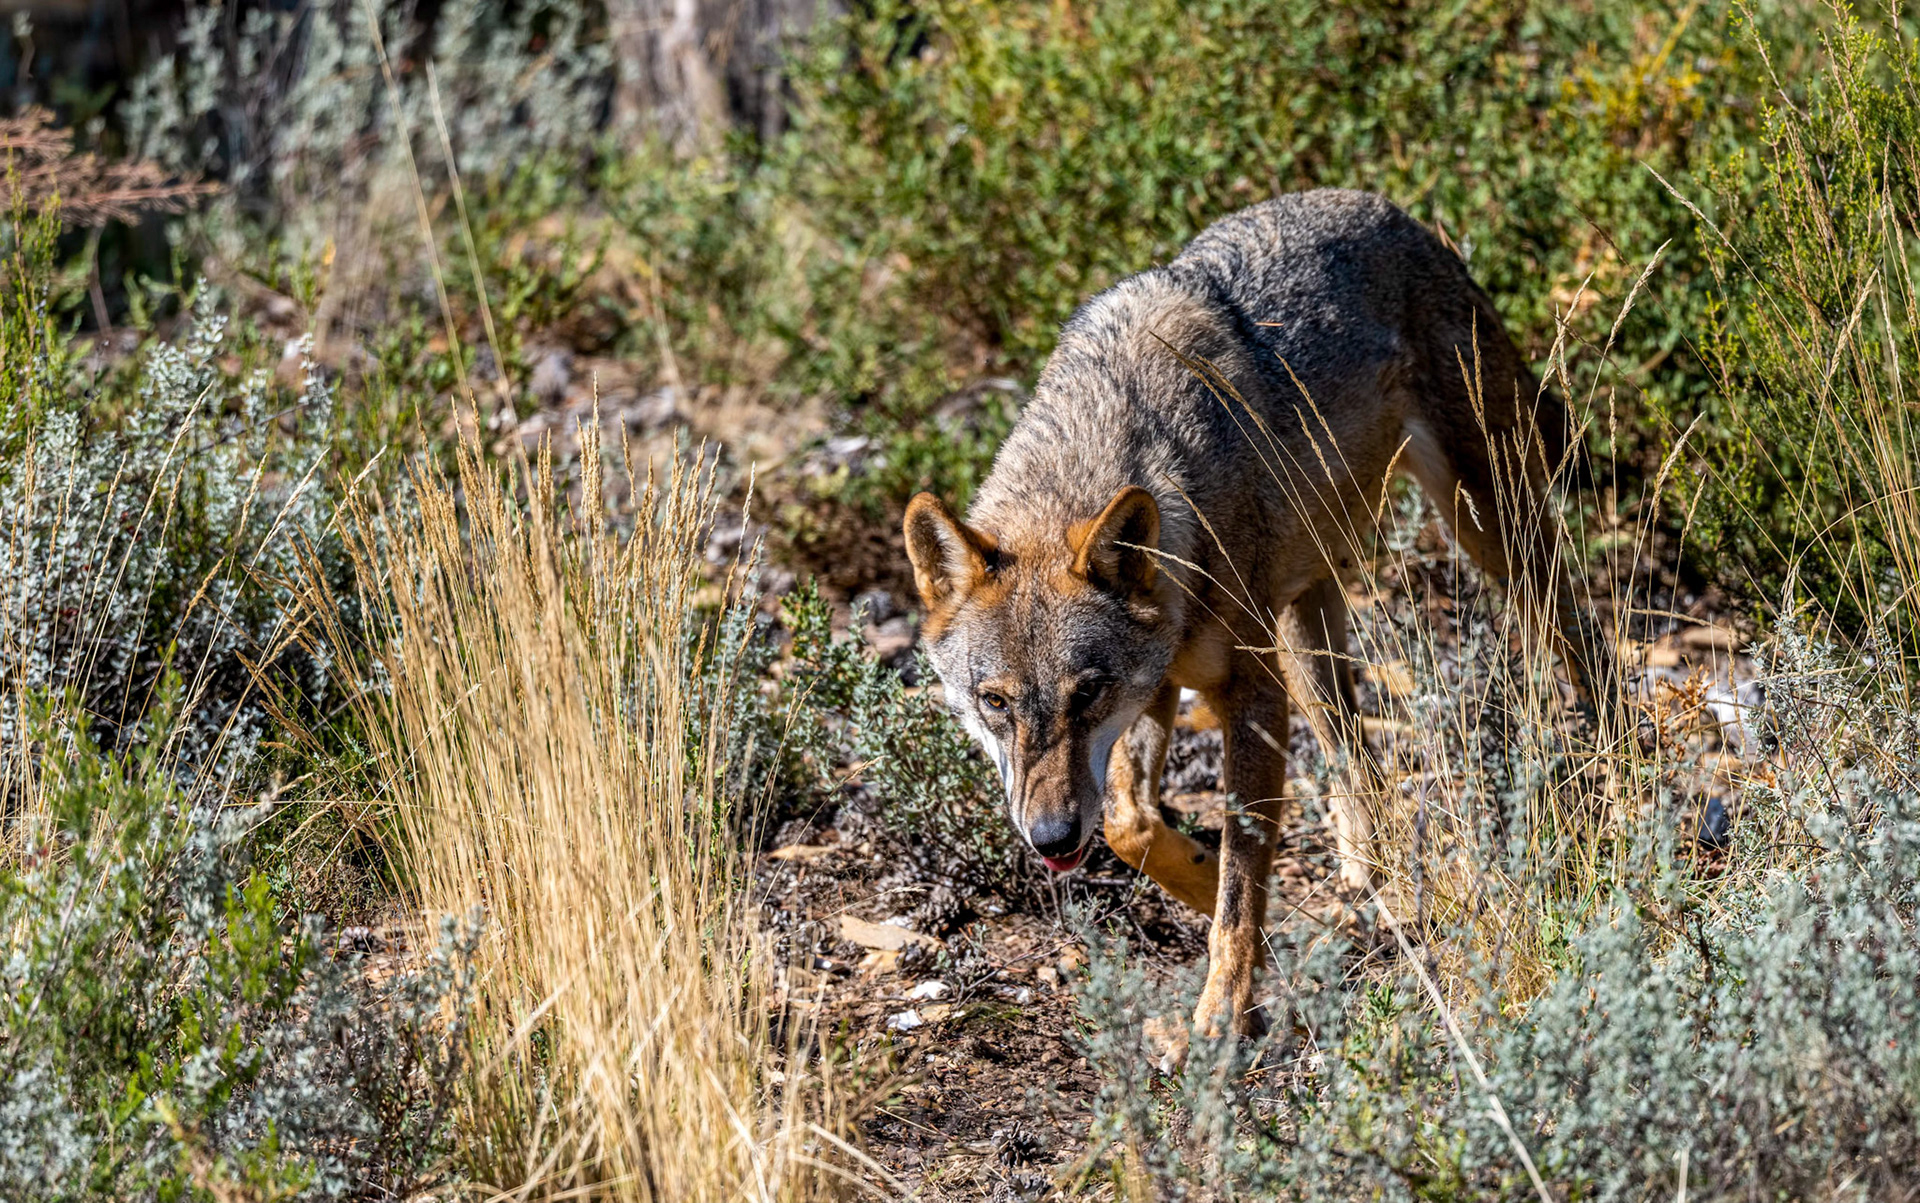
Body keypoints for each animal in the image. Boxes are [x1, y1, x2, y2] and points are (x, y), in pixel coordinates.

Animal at [903, 188, 1611, 1039]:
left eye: (1086, 693)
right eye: (995, 701)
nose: (1051, 837)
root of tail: (1391, 210)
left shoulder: (1246, 691)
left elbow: (1241, 874)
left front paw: (1223, 1007)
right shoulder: (1160, 687)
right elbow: (1133, 825)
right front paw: (1238, 905)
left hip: (1487, 533)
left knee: (1581, 637)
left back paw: (1622, 769)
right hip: (1311, 631)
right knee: (1357, 757)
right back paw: (1376, 877)